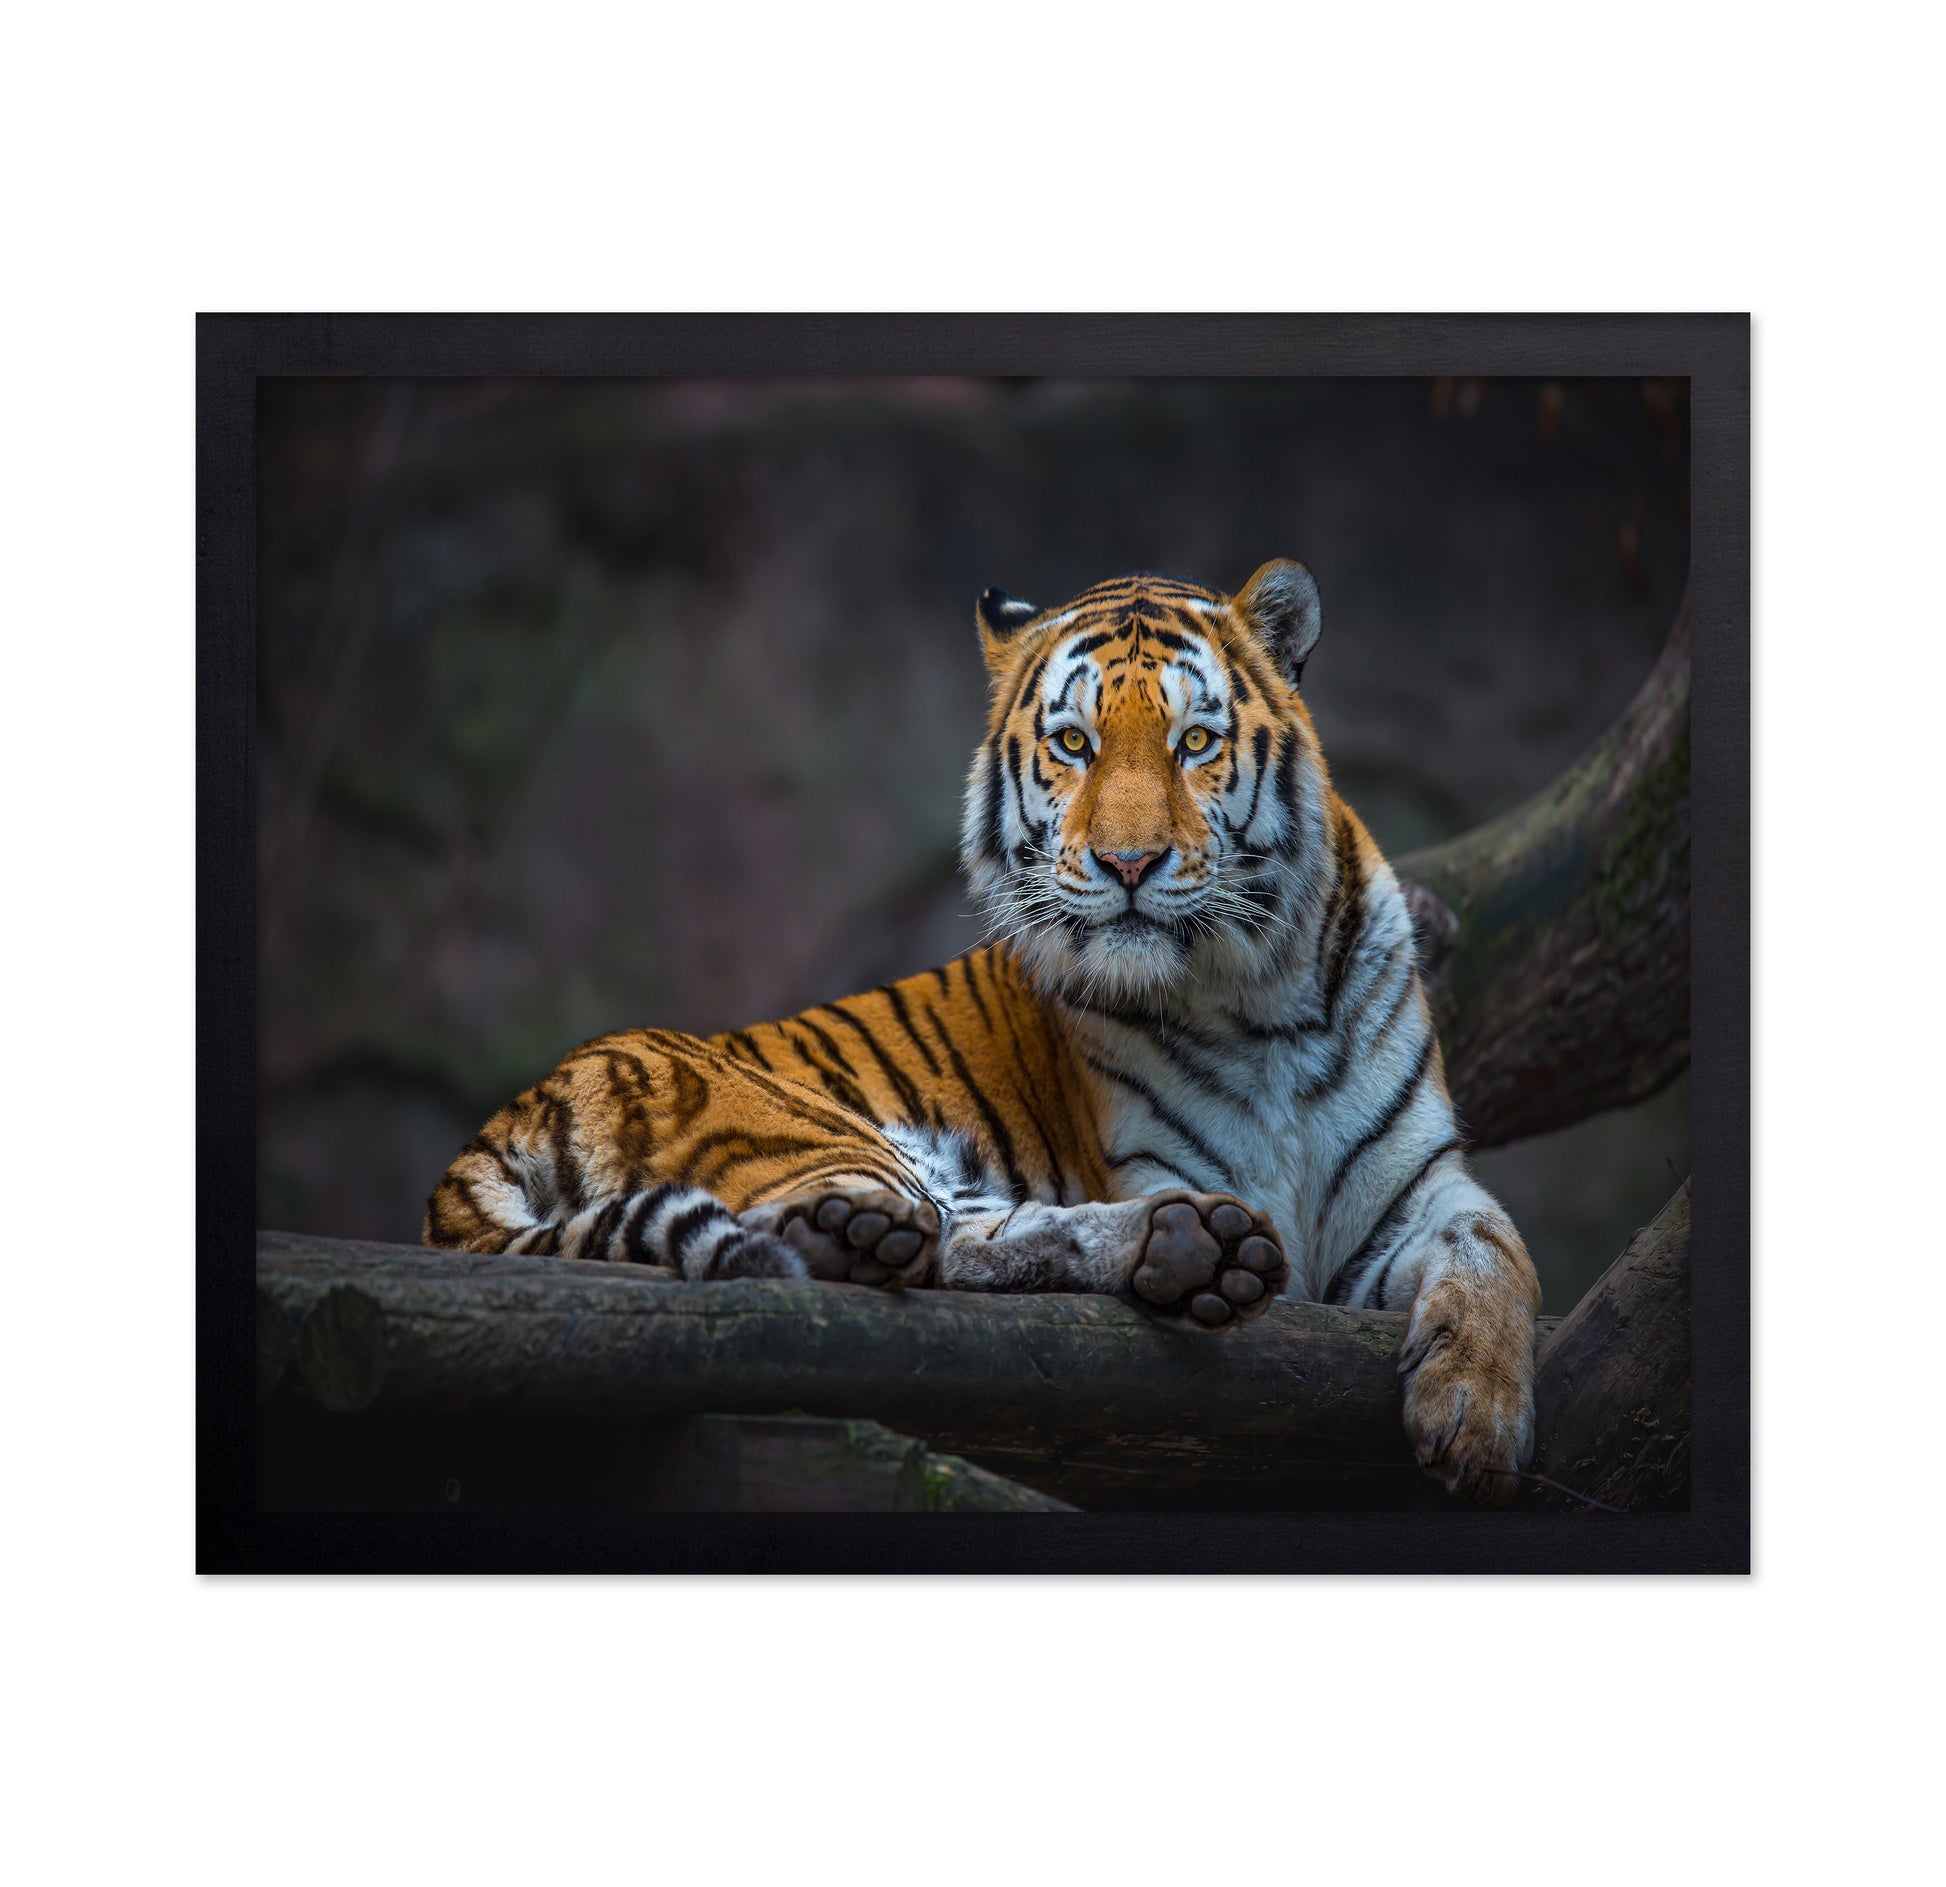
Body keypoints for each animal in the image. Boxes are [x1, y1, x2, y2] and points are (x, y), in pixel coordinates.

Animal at [425, 561, 1542, 1502]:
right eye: (1073, 744)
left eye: (1194, 742)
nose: (1128, 864)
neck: (1259, 996)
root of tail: (516, 1109)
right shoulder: (1163, 1160)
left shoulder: (1416, 1192)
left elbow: (1499, 1252)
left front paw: (1476, 1420)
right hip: (811, 1126)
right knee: (892, 1244)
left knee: (980, 1237)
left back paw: (1189, 1248)